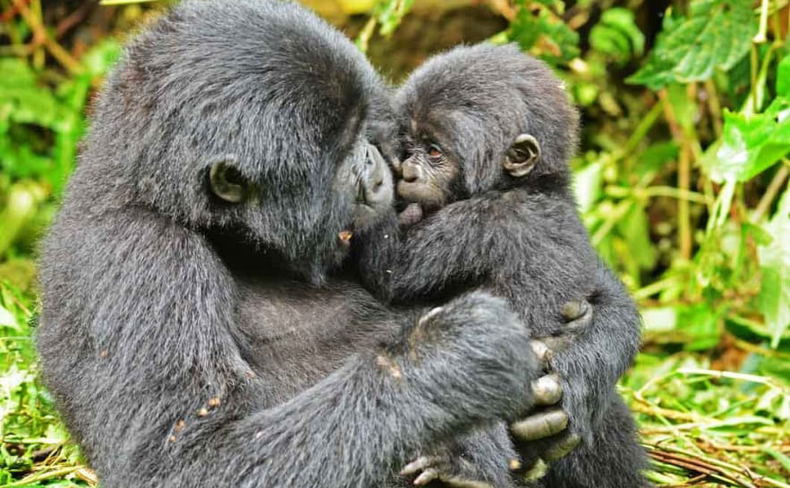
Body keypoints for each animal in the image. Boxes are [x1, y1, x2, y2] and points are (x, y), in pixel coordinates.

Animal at [35, 2, 593, 487]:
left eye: (366, 131)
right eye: (343, 155)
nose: (379, 163)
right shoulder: (139, 253)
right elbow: (185, 461)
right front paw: (457, 354)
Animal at [353, 43, 648, 487]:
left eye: (434, 153)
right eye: (410, 144)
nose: (406, 173)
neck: (532, 184)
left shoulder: (486, 220)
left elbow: (391, 269)